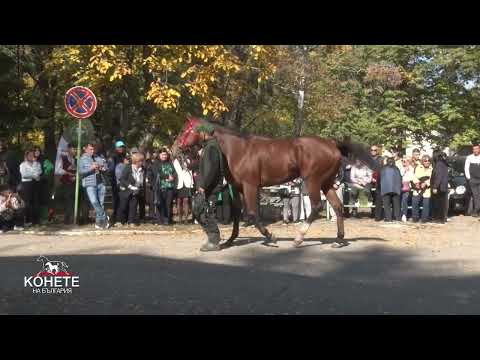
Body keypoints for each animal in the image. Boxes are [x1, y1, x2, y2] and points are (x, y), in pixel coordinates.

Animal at [171, 117, 376, 248]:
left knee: (317, 206)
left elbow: (252, 213)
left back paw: (299, 238)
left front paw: (270, 236)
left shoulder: (250, 186)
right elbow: (238, 213)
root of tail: (332, 144)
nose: (174, 149)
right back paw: (339, 240)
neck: (238, 150)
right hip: (326, 183)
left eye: (184, 130)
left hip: (313, 181)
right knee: (338, 206)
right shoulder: (237, 188)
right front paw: (230, 240)